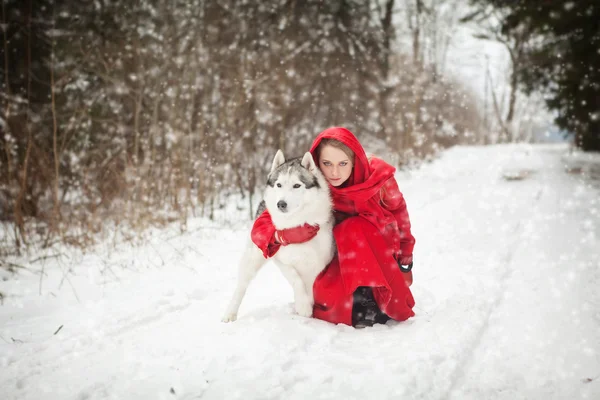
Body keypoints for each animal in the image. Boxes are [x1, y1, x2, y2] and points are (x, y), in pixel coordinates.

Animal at [220, 150, 336, 322]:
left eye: (297, 185)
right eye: (279, 185)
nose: (281, 204)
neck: (296, 224)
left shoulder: (319, 263)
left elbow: (311, 285)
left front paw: (307, 309)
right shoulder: (280, 258)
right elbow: (296, 280)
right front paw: (303, 307)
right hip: (252, 258)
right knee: (241, 285)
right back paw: (229, 314)